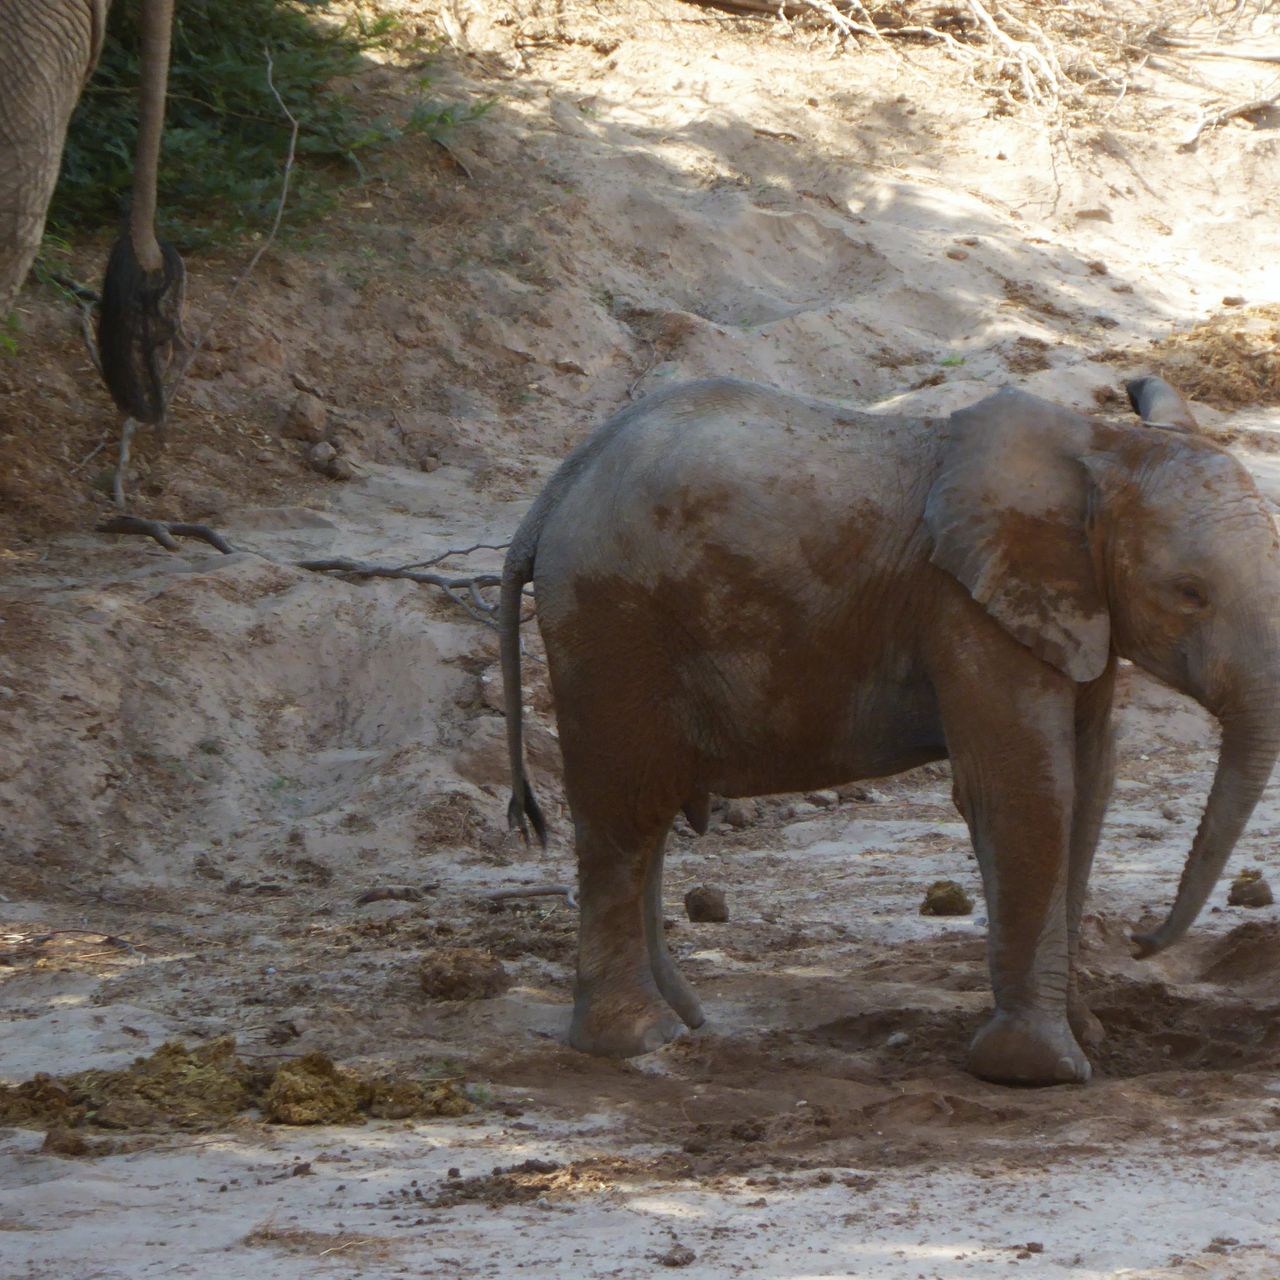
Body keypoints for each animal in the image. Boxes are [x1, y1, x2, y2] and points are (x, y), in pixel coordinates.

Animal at [499, 373, 1280, 1086]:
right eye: (1189, 594)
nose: (1144, 940)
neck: (1101, 444)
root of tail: (552, 494)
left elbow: (1089, 786)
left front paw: (1087, 1037)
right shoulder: (965, 606)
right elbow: (1027, 787)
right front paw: (1042, 1071)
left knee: (648, 816)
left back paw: (684, 1022)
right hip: (609, 621)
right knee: (624, 814)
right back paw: (637, 1041)